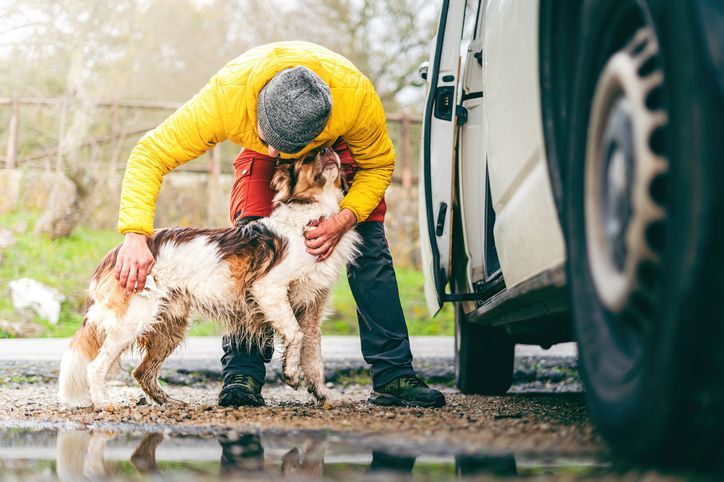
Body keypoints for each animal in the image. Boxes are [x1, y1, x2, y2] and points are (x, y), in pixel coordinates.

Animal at [58, 147, 360, 406]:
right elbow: (294, 334)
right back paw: (103, 403)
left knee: (142, 372)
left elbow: (314, 359)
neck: (310, 215)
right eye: (308, 158)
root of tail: (115, 253)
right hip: (134, 319)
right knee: (96, 366)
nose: (329, 149)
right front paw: (291, 373)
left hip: (170, 326)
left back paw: (169, 402)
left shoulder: (312, 308)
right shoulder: (268, 288)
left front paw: (325, 397)